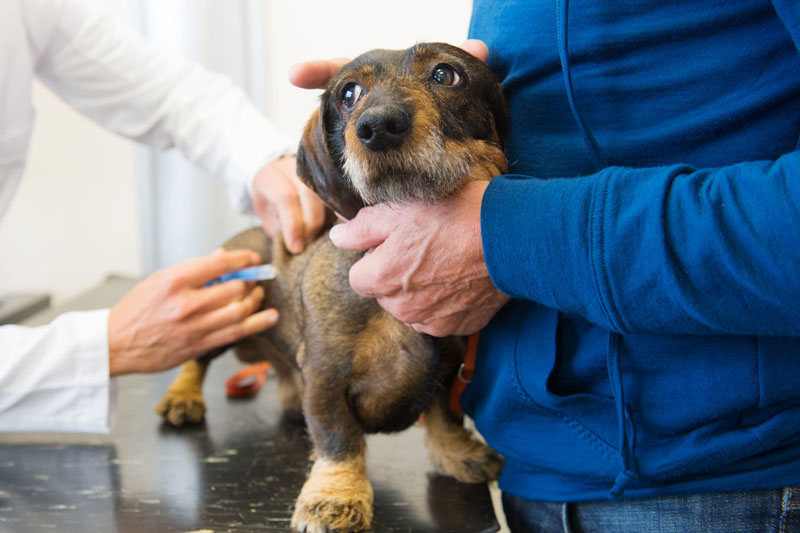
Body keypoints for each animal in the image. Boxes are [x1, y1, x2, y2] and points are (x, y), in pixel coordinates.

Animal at [153, 42, 510, 532]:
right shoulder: (325, 374)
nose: (378, 127)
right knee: (198, 357)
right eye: (349, 93)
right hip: (228, 307)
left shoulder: (446, 366)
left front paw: (455, 453)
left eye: (445, 74)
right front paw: (335, 496)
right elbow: (339, 439)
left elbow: (445, 418)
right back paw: (183, 396)